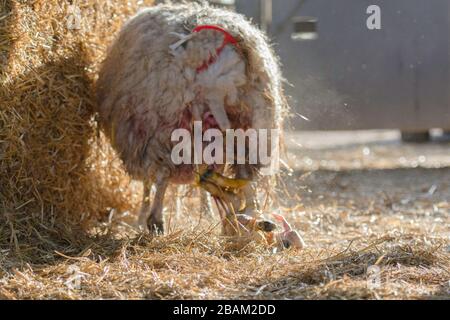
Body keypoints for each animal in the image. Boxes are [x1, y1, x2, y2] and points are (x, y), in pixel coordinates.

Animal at [96, 1, 288, 238]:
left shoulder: (144, 134)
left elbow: (151, 183)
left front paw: (145, 218)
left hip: (169, 116)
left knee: (169, 172)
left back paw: (158, 220)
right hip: (253, 121)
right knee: (242, 172)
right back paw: (250, 217)